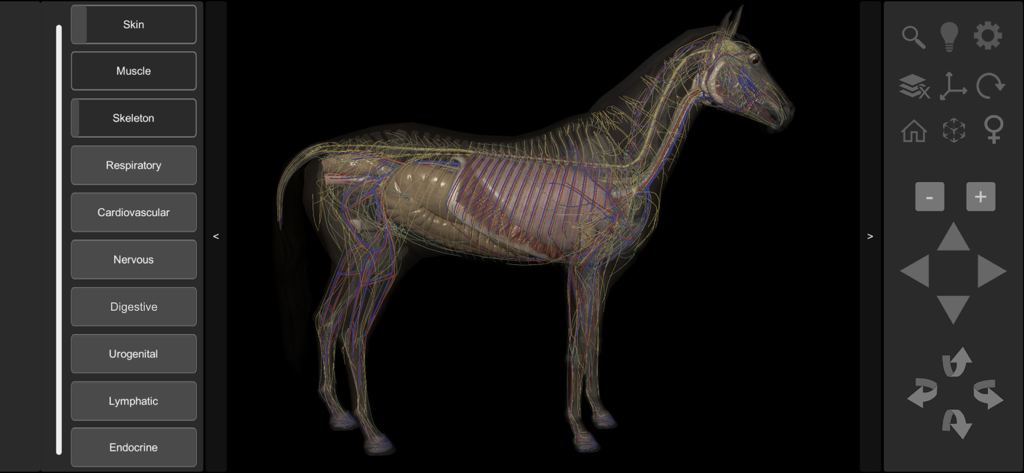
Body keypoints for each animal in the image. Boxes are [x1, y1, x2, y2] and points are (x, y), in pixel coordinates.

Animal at [274, 6, 793, 455]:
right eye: (753, 59)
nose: (784, 112)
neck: (623, 165)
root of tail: (329, 154)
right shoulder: (581, 266)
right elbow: (575, 347)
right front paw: (581, 433)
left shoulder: (600, 270)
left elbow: (592, 340)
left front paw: (600, 415)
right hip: (378, 253)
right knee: (353, 333)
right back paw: (373, 433)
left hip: (357, 252)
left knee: (327, 319)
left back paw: (340, 415)